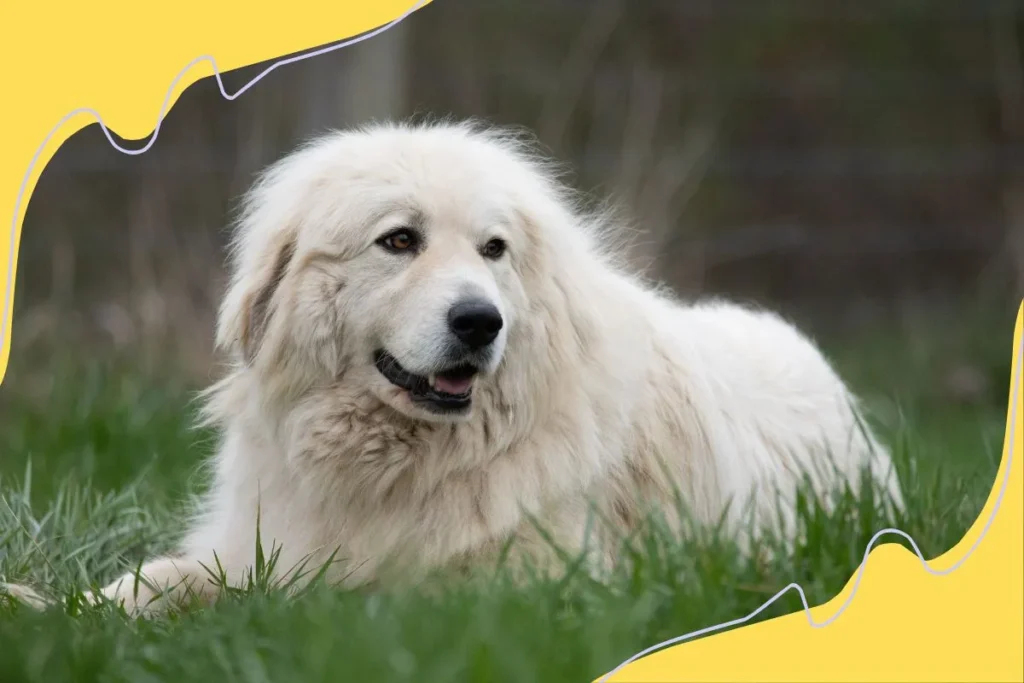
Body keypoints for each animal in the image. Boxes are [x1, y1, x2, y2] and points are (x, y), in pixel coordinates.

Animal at [6, 120, 905, 618]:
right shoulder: (258, 538)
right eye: (399, 240)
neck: (403, 464)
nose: (480, 320)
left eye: (493, 249)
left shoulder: (528, 579)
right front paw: (46, 608)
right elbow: (149, 582)